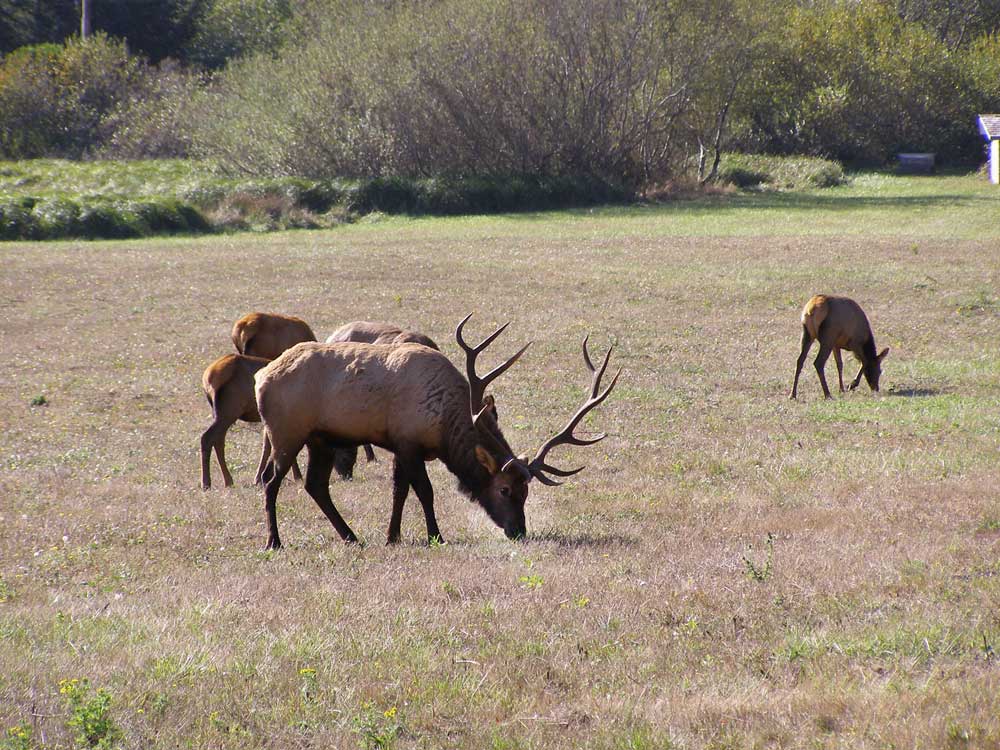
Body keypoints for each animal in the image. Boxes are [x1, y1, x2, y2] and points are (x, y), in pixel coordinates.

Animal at [199, 356, 300, 490]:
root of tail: (208, 377)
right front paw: (297, 476)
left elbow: (268, 446)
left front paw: (258, 479)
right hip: (228, 412)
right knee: (207, 438)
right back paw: (206, 483)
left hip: (221, 414)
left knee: (218, 440)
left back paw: (228, 480)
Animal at [254, 314, 620, 548]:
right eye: (503, 489)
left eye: (526, 491)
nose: (518, 530)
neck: (443, 426)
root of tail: (260, 378)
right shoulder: (408, 442)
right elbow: (424, 491)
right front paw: (435, 536)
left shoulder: (399, 444)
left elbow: (399, 490)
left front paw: (392, 537)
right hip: (286, 432)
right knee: (272, 481)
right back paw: (274, 541)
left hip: (321, 439)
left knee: (316, 485)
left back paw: (351, 536)